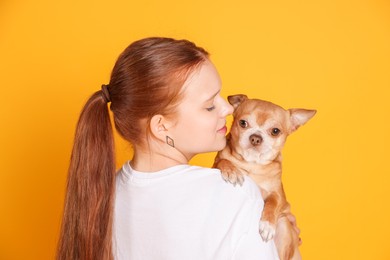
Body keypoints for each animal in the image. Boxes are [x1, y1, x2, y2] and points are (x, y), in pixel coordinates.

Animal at [213, 95, 316, 260]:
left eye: (275, 131)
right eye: (243, 123)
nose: (255, 137)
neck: (252, 164)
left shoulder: (277, 193)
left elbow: (273, 203)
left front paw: (267, 224)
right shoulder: (216, 163)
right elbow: (222, 161)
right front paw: (232, 170)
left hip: (284, 225)